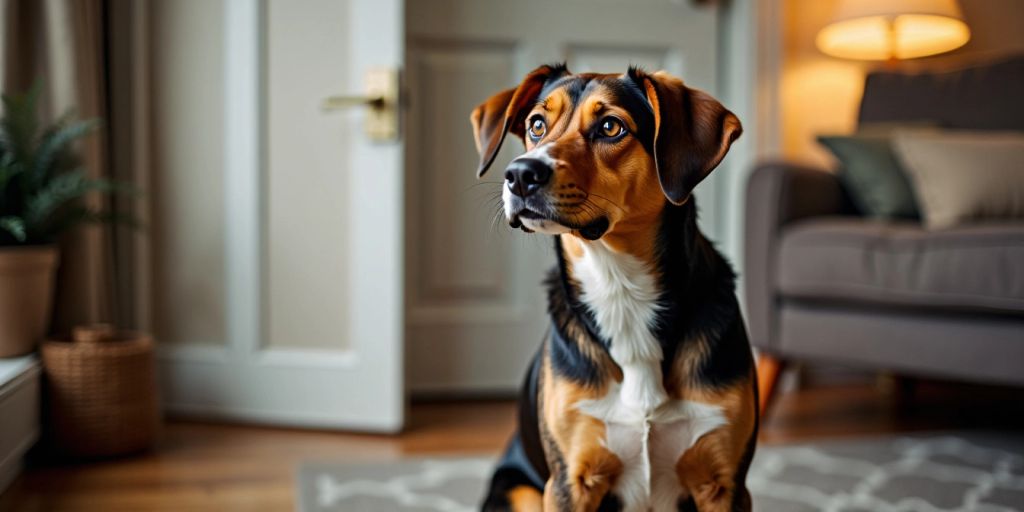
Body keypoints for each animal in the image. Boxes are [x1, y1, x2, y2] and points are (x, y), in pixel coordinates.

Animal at [468, 65, 753, 512]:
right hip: (520, 493)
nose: (520, 175)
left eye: (610, 126)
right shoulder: (570, 481)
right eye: (536, 125)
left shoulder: (724, 484)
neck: (620, 289)